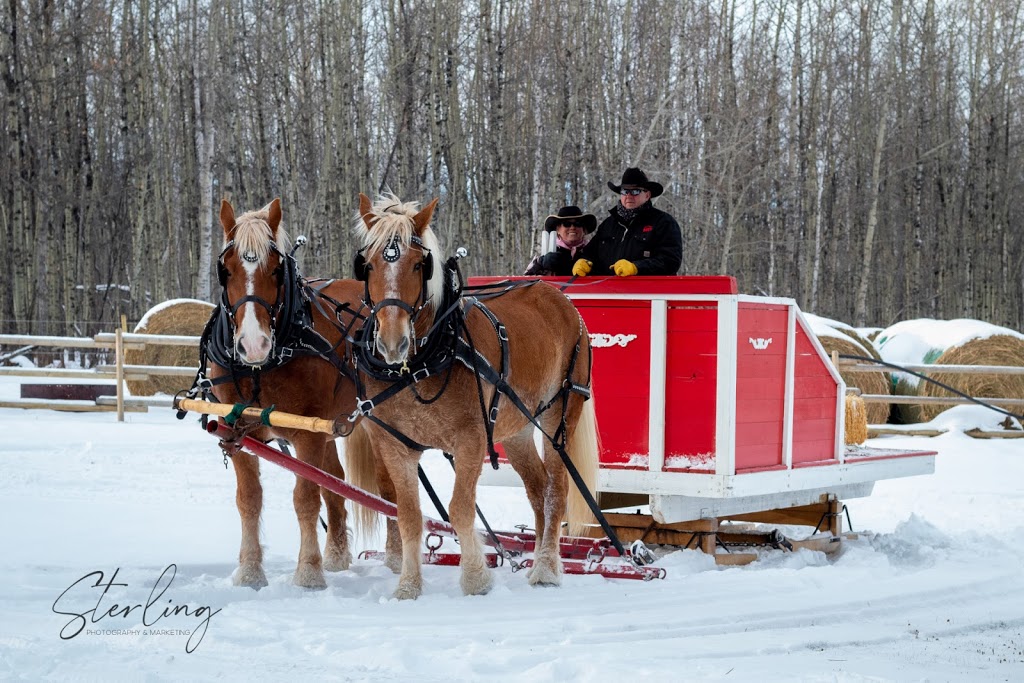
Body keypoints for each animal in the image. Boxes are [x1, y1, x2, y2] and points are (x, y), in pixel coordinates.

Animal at [193, 197, 370, 589]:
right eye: (225, 271)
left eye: (276, 270)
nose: (253, 344)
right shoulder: (238, 431)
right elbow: (249, 499)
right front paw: (250, 572)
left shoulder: (307, 435)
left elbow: (305, 499)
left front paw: (309, 573)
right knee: (336, 484)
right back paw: (337, 556)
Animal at [344, 192, 598, 598]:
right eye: (366, 265)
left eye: (419, 265)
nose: (392, 343)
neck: (421, 364)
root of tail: (555, 295)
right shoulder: (395, 446)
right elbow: (409, 515)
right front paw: (408, 586)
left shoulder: (471, 441)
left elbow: (460, 509)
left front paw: (476, 578)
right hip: (518, 427)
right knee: (538, 489)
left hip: (560, 412)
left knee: (556, 491)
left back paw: (545, 568)